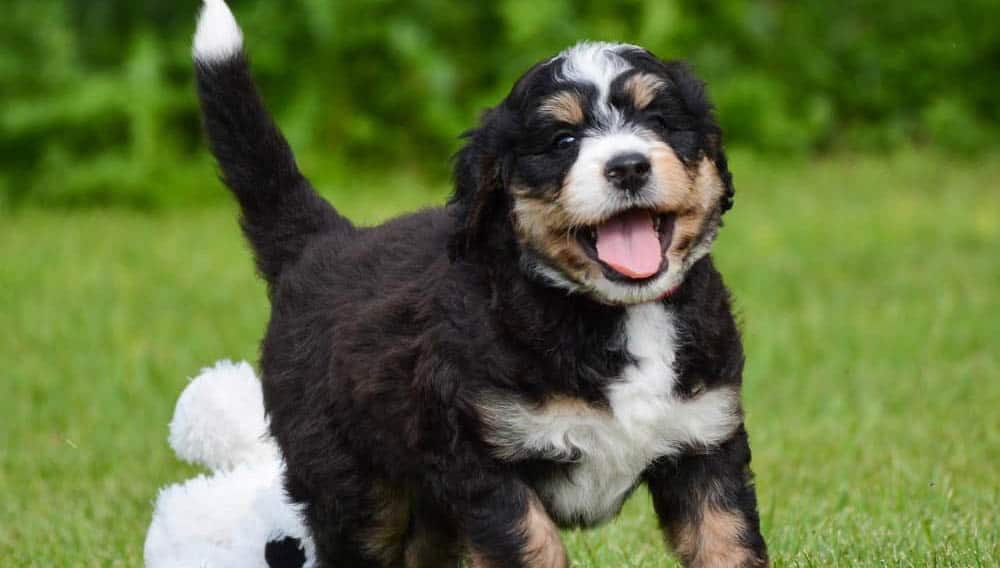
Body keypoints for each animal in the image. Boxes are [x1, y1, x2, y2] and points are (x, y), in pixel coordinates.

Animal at [193, 2, 764, 564]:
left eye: (661, 123)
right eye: (563, 140)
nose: (627, 166)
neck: (617, 312)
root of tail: (325, 242)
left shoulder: (705, 441)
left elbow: (728, 544)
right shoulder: (481, 455)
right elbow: (532, 544)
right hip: (353, 484)